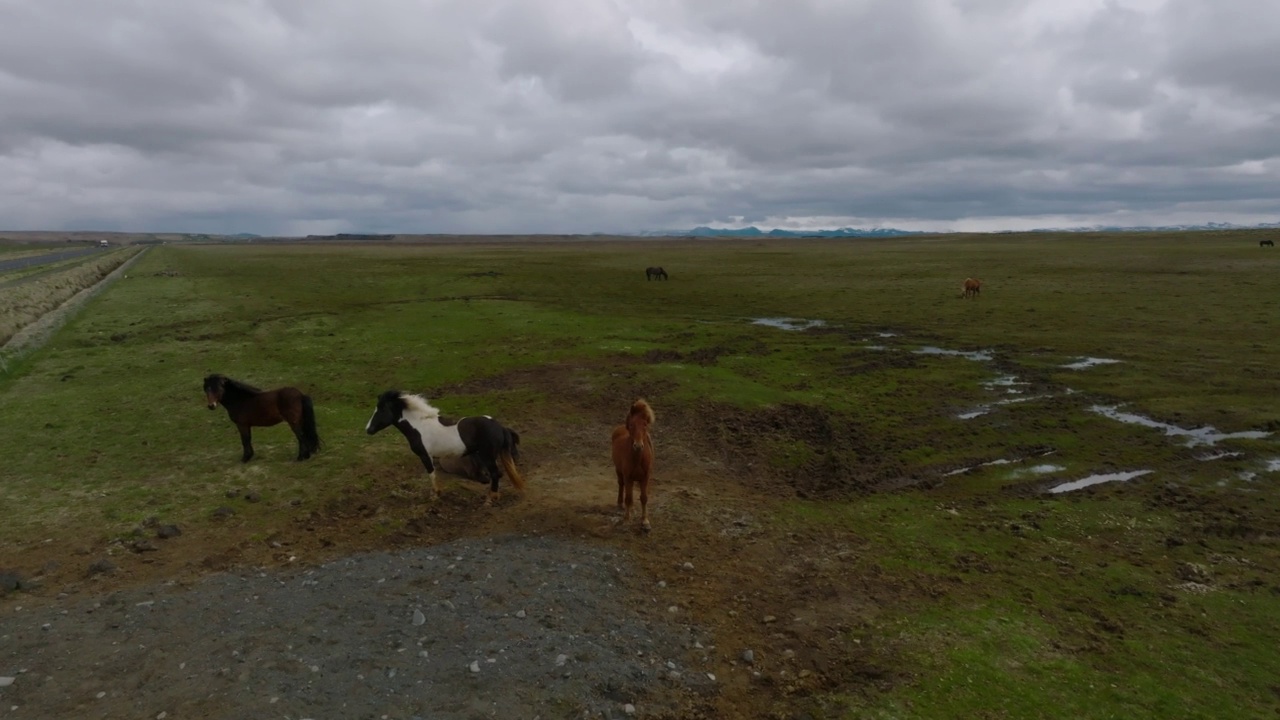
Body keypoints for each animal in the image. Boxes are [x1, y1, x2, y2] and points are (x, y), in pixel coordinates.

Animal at [366, 386, 524, 504]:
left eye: (381, 409)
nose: (368, 429)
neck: (419, 427)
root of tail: (499, 426)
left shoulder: (425, 456)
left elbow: (432, 474)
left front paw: (435, 495)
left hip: (488, 456)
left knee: (496, 474)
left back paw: (491, 499)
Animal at [609, 394, 655, 530]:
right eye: (631, 424)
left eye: (645, 424)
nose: (638, 446)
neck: (638, 458)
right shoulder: (628, 477)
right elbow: (628, 498)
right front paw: (626, 519)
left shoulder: (645, 478)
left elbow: (644, 498)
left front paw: (645, 522)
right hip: (619, 471)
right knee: (621, 485)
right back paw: (620, 504)